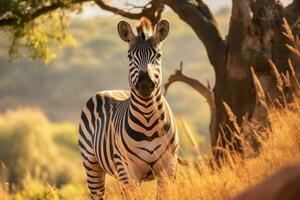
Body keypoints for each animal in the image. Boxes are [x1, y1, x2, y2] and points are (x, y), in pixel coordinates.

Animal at [78, 18, 179, 199]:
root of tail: (107, 90)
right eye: (130, 56)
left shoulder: (168, 168)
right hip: (92, 164)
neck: (148, 121)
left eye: (158, 55)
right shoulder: (128, 172)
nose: (145, 84)